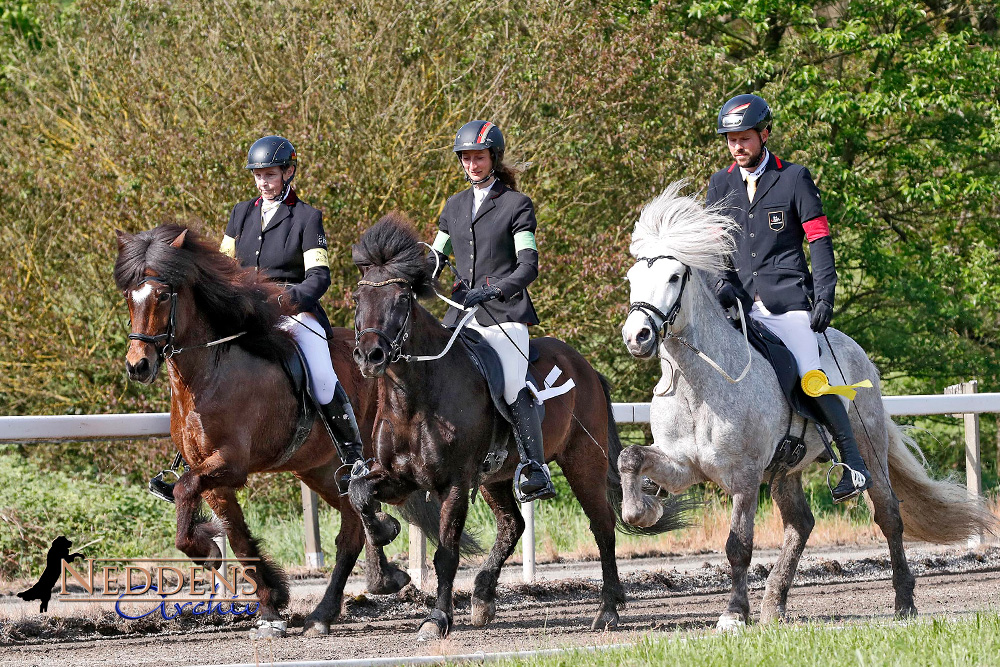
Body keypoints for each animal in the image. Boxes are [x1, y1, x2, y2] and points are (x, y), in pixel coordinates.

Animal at [115, 227, 436, 640]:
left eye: (164, 295)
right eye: (129, 295)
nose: (138, 365)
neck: (208, 373)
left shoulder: (230, 464)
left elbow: (186, 491)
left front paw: (207, 550)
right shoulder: (214, 478)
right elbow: (237, 537)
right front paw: (270, 604)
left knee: (357, 519)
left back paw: (342, 598)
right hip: (319, 470)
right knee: (352, 522)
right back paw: (361, 590)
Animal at [350, 214, 688, 640]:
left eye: (401, 299)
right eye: (357, 300)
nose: (370, 356)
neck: (414, 399)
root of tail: (586, 367)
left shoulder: (454, 483)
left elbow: (446, 552)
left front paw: (437, 618)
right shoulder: (398, 477)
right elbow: (359, 494)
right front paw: (384, 563)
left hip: (582, 463)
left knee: (602, 526)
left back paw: (608, 610)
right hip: (496, 476)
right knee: (513, 524)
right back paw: (483, 596)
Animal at [616, 184, 992, 632]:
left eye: (674, 277)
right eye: (632, 279)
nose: (637, 337)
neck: (698, 383)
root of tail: (853, 348)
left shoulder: (744, 477)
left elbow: (738, 545)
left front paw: (733, 615)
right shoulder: (683, 465)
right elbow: (629, 457)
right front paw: (643, 510)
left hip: (868, 447)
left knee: (889, 516)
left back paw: (904, 603)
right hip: (787, 468)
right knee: (801, 524)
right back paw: (773, 606)